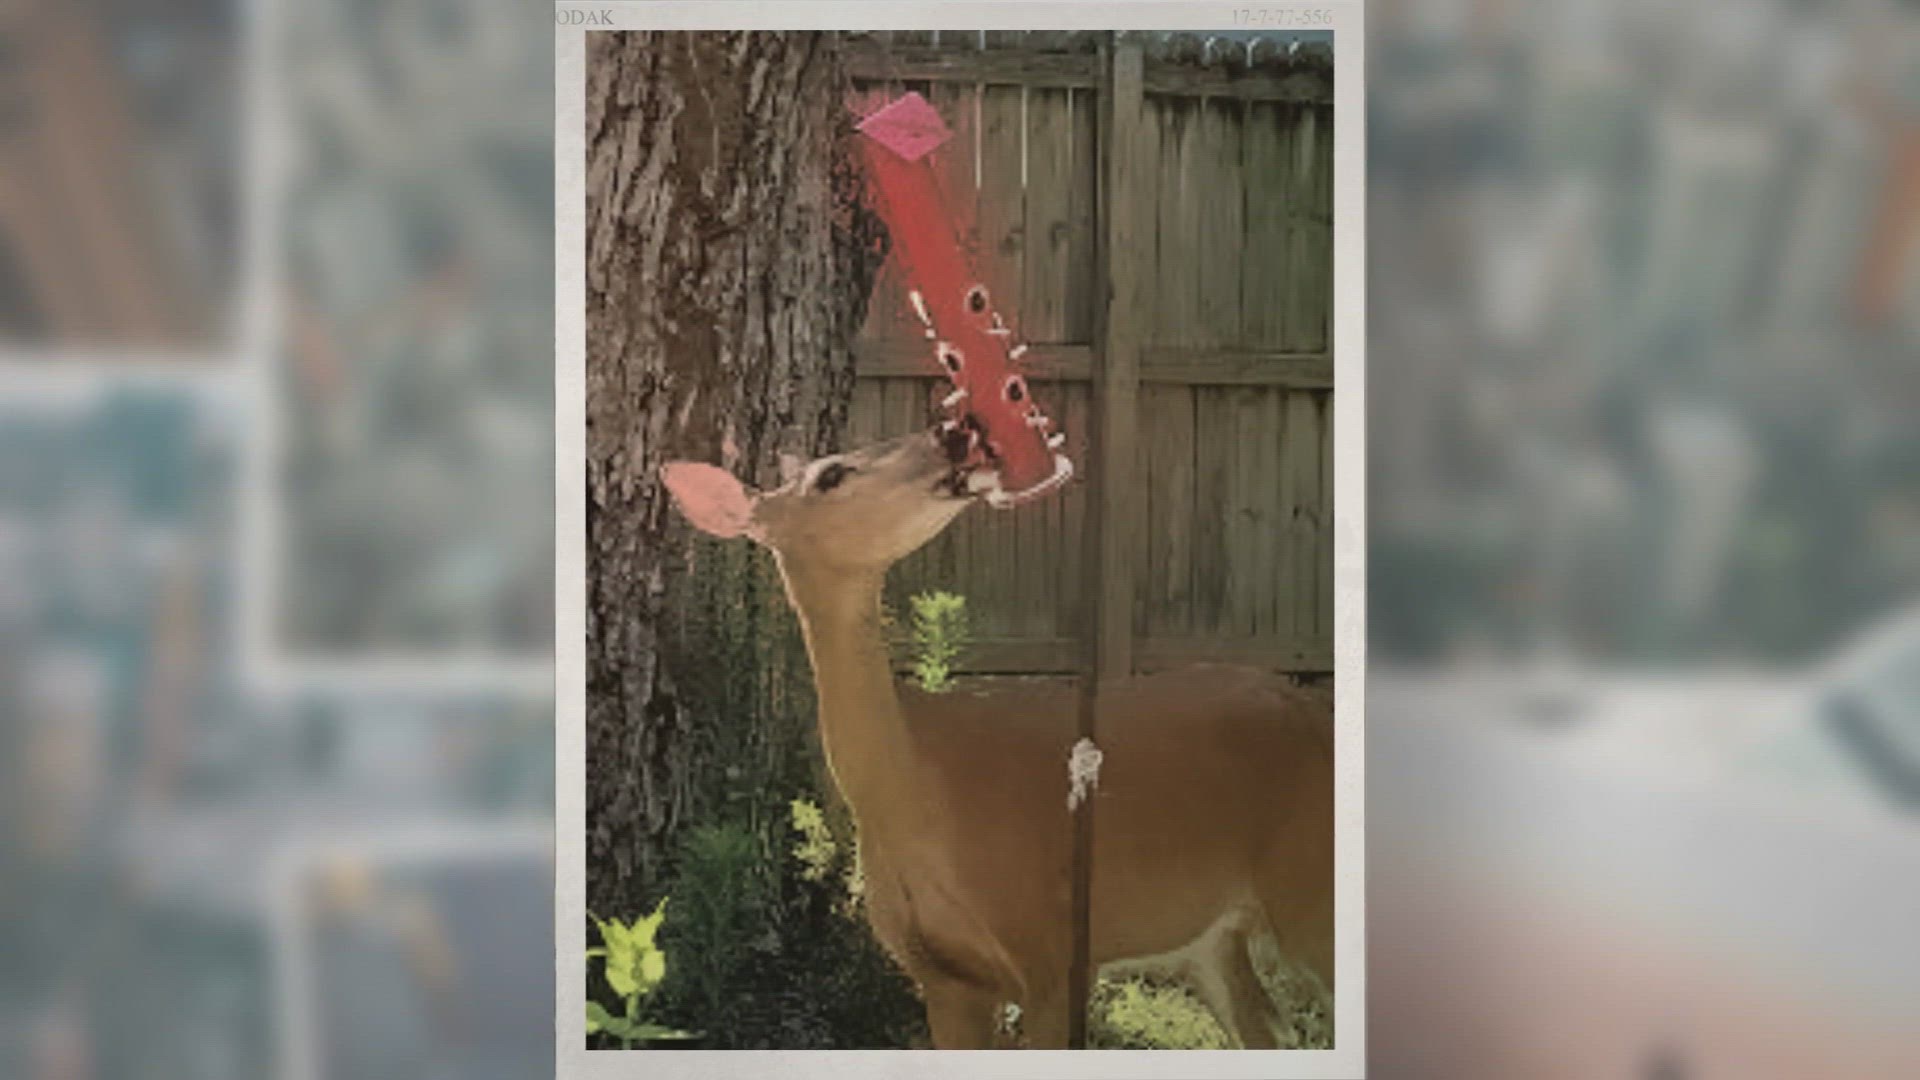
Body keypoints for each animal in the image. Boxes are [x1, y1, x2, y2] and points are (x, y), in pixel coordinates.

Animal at [661, 426, 1334, 1049]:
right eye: (831, 475)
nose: (949, 435)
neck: (917, 796)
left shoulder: (1054, 948)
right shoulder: (944, 978)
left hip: (1308, 886)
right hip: (1214, 936)